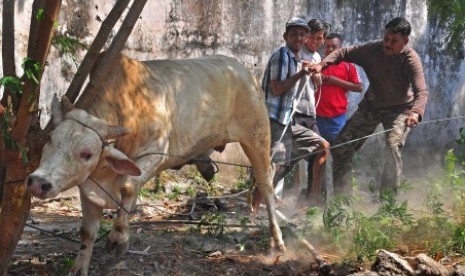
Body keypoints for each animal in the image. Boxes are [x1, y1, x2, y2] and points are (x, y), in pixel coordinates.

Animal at [27, 54, 286, 274]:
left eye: (86, 153)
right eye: (50, 139)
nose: (38, 182)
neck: (126, 106)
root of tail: (243, 70)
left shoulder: (157, 152)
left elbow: (128, 186)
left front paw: (118, 237)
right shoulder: (88, 184)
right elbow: (87, 233)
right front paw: (78, 268)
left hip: (257, 135)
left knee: (266, 182)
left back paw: (277, 241)